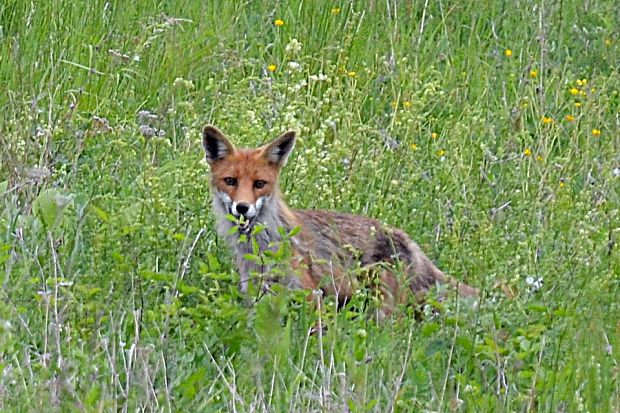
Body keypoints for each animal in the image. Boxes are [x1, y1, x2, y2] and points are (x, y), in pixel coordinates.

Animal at [201, 124, 478, 314]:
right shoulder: (257, 295)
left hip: (383, 309)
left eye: (259, 184)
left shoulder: (310, 293)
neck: (263, 246)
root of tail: (409, 242)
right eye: (230, 181)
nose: (242, 207)